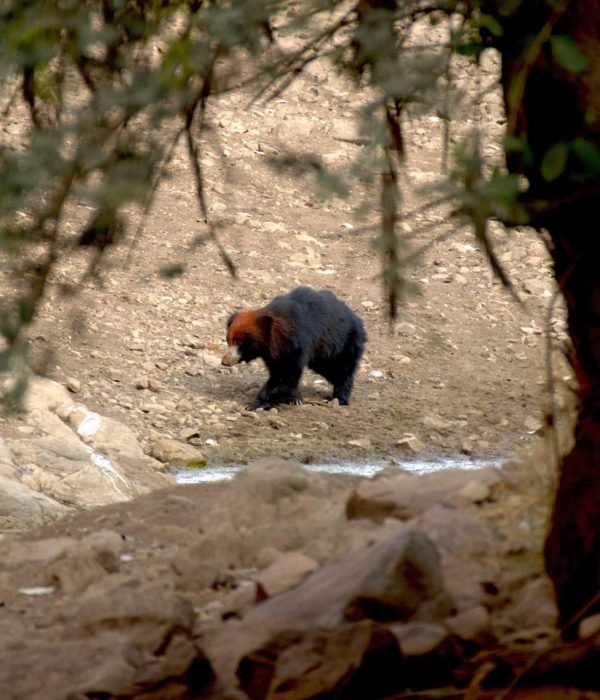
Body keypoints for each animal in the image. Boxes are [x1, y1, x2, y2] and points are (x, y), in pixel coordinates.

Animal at [221, 286, 367, 410]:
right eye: (228, 340)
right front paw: (293, 398)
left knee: (342, 370)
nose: (224, 361)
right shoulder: (273, 354)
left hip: (344, 344)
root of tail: (357, 319)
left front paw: (258, 403)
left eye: (239, 342)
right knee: (332, 371)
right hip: (323, 357)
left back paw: (338, 399)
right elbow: (277, 373)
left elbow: (288, 373)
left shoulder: (296, 345)